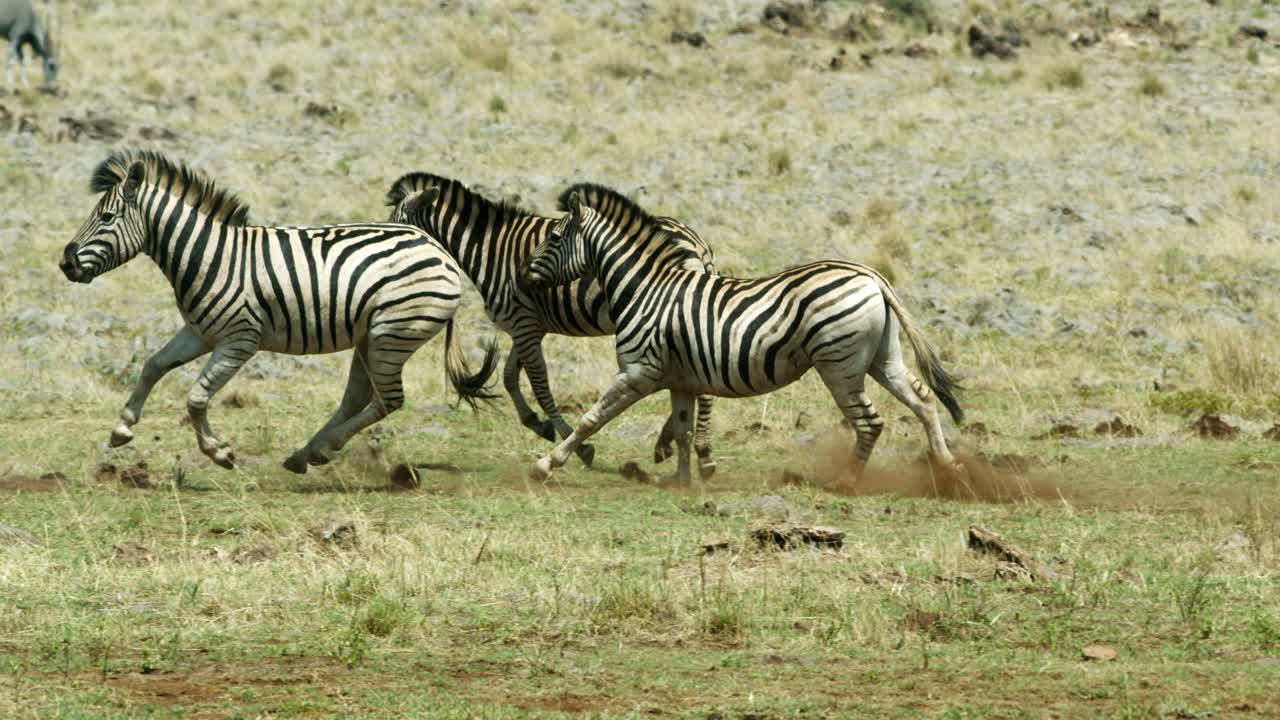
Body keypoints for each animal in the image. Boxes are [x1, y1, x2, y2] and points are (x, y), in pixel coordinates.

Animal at [59, 150, 497, 473]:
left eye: (106, 218)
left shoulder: (239, 340)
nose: (66, 264)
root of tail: (435, 247)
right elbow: (153, 365)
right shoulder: (200, 332)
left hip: (392, 334)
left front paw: (219, 452)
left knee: (388, 400)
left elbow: (196, 398)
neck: (207, 256)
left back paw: (321, 450)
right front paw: (122, 429)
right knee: (358, 397)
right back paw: (306, 453)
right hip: (370, 336)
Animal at [385, 174, 719, 477]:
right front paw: (537, 424)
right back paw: (669, 442)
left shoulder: (523, 324)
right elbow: (510, 377)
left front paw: (579, 447)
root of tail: (696, 242)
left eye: (398, 223)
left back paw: (702, 452)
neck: (488, 248)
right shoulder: (528, 326)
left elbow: (540, 386)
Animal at [518, 187, 967, 485]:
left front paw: (546, 464)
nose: (522, 274)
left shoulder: (638, 372)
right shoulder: (680, 380)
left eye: (554, 238)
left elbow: (591, 419)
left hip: (839, 365)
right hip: (880, 357)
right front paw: (682, 481)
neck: (644, 288)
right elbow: (682, 429)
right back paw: (946, 466)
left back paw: (848, 481)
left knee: (870, 422)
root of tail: (872, 275)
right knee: (923, 400)